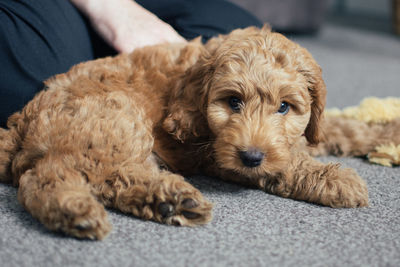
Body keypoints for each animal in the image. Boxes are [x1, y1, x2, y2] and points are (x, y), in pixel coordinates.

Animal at [0, 26, 368, 241]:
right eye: (233, 102)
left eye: (284, 107)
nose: (251, 156)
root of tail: (19, 123)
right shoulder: (214, 153)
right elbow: (288, 163)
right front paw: (336, 179)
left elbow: (333, 129)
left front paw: (374, 132)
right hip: (113, 116)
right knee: (48, 176)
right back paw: (74, 210)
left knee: (113, 178)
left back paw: (169, 201)